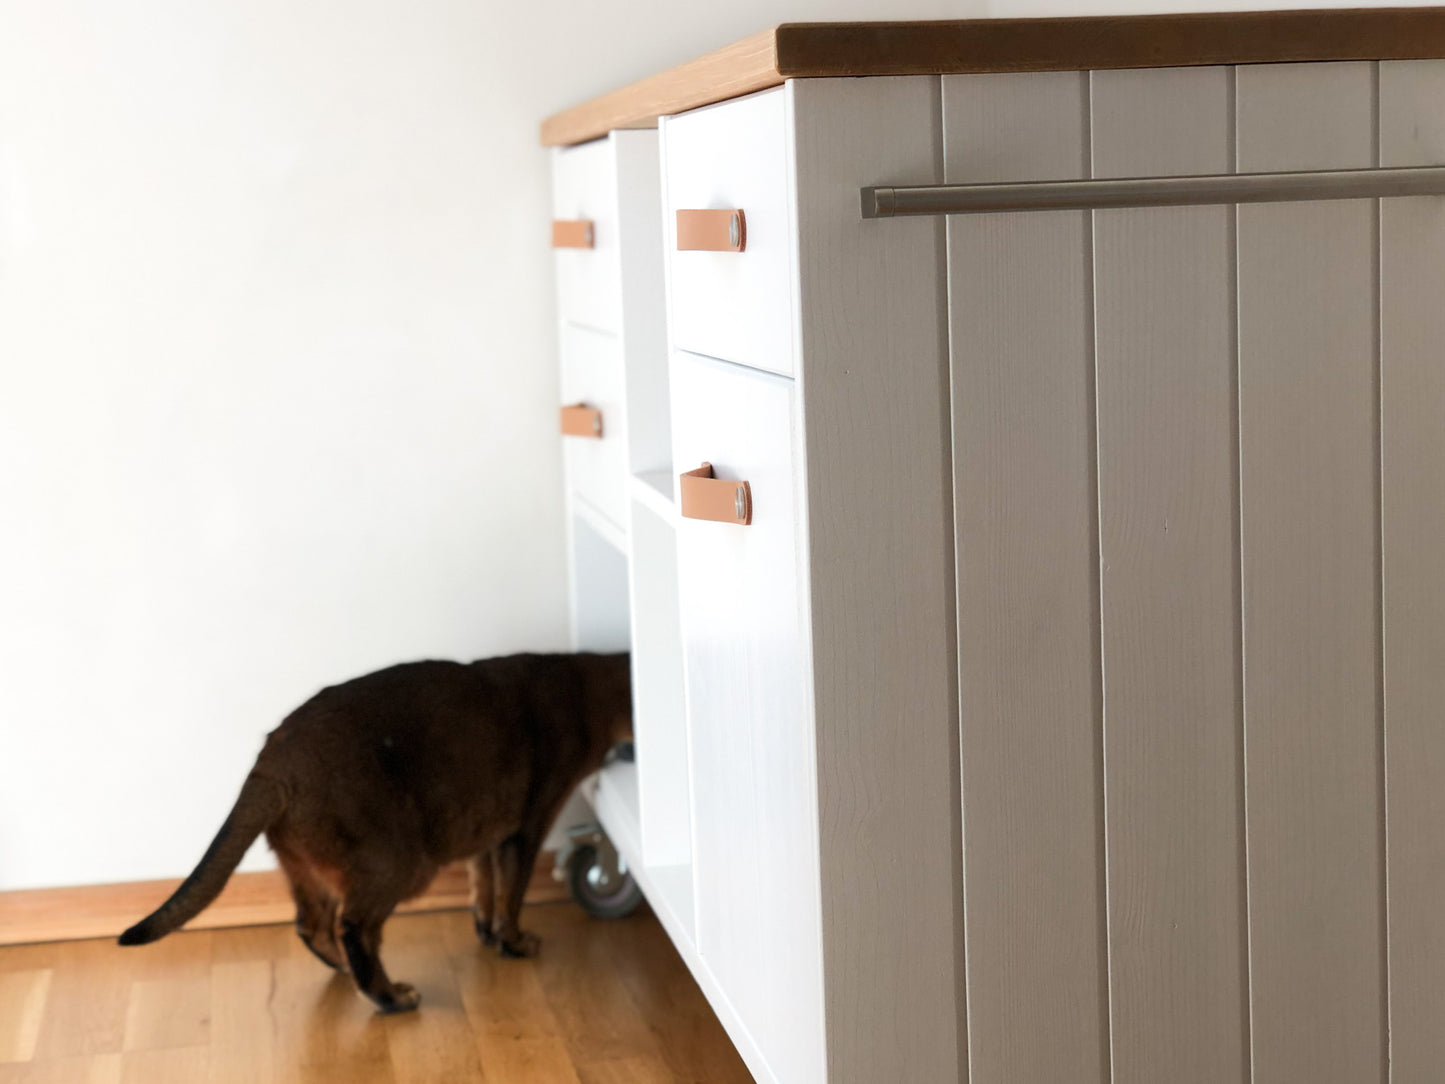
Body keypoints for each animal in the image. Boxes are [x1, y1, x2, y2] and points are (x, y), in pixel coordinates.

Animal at [117, 653, 627, 1017]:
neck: (585, 683)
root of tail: (270, 764)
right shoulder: (528, 826)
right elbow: (513, 895)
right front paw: (515, 943)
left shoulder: (486, 832)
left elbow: (484, 885)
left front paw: (485, 931)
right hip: (399, 863)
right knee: (354, 927)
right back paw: (389, 997)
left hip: (305, 865)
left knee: (311, 925)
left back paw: (348, 973)